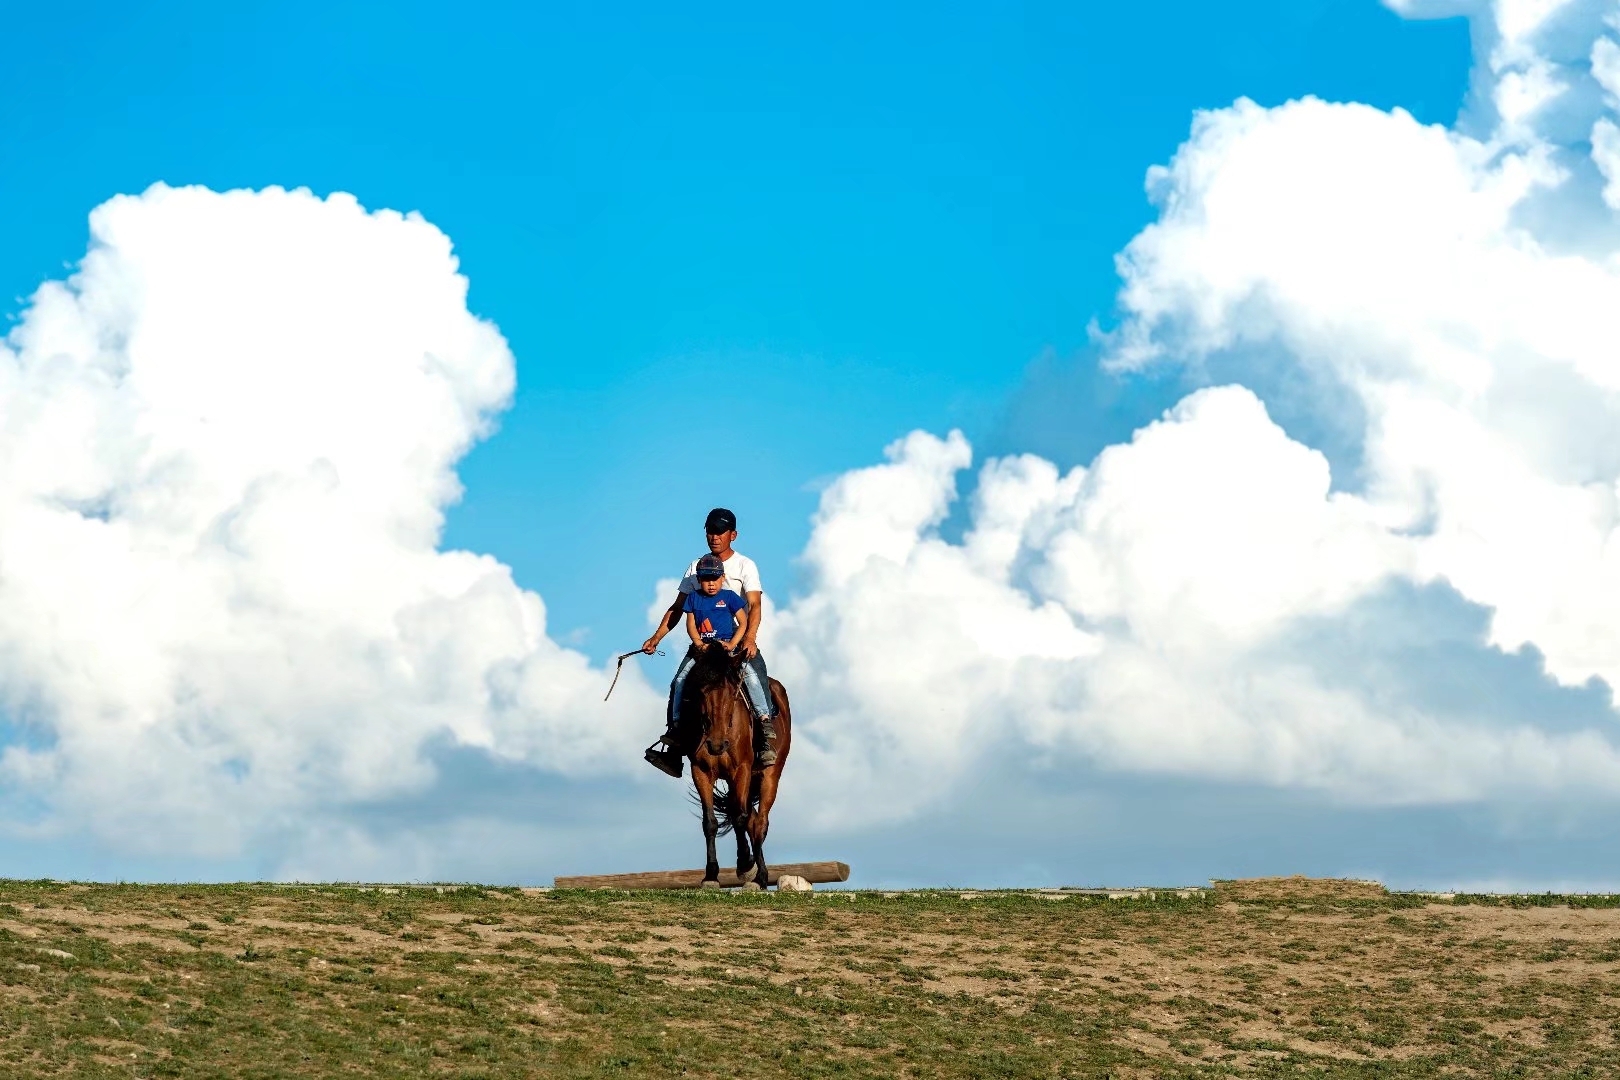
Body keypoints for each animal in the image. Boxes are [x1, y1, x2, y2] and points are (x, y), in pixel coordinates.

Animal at [673, 641, 793, 887]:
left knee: (760, 823)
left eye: (732, 693)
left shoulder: (741, 771)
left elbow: (739, 818)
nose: (716, 744)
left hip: (769, 776)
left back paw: (760, 877)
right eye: (700, 693)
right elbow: (709, 822)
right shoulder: (701, 771)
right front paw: (711, 875)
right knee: (753, 821)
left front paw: (745, 865)